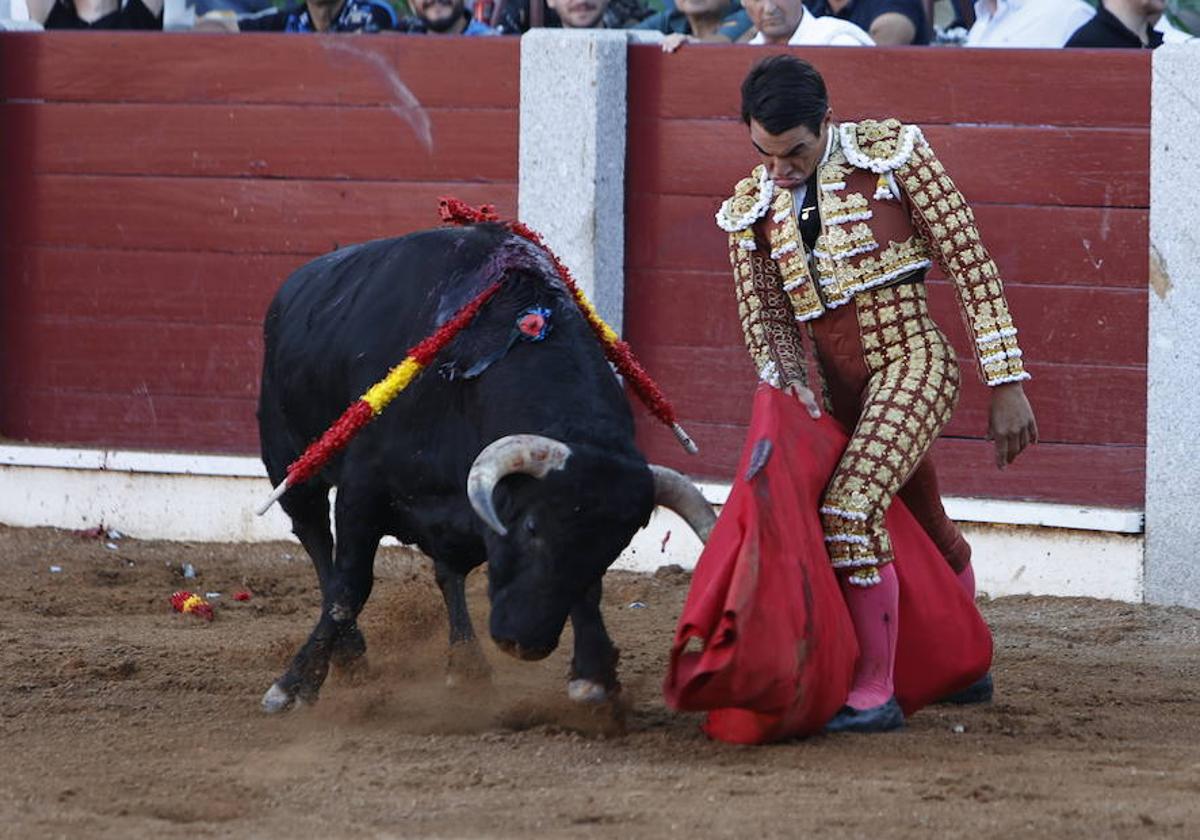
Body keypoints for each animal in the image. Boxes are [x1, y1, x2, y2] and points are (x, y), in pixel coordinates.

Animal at [256, 222, 710, 710]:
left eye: (613, 548)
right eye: (530, 527)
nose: (525, 643)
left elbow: (583, 590)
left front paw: (593, 673)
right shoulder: (363, 491)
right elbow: (348, 589)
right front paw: (292, 686)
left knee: (445, 572)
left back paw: (467, 663)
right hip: (290, 468)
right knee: (318, 546)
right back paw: (352, 657)